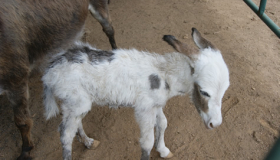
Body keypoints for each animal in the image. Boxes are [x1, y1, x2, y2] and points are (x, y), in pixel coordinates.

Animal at [42, 28, 229, 159]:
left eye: (225, 90)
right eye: (204, 92)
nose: (215, 124)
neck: (165, 73)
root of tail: (50, 71)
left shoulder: (156, 104)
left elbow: (163, 123)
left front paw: (163, 150)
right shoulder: (144, 109)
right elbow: (147, 142)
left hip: (75, 103)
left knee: (74, 125)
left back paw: (88, 142)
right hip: (77, 102)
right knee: (65, 134)